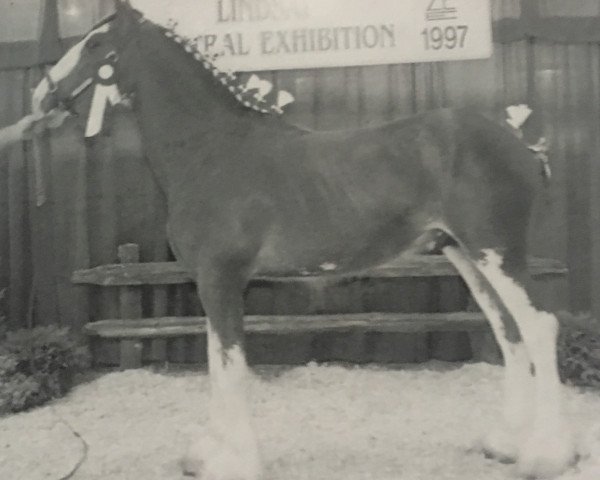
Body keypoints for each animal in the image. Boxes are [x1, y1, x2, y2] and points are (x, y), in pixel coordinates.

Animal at [31, 1, 576, 478]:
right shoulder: (210, 284)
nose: (40, 97)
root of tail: (524, 146)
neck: (211, 151)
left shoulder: (222, 279)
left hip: (496, 252)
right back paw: (504, 443)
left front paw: (236, 463)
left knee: (539, 326)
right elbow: (215, 362)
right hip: (466, 255)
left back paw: (547, 455)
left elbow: (230, 367)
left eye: (95, 43)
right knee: (509, 332)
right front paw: (207, 455)